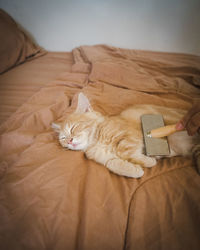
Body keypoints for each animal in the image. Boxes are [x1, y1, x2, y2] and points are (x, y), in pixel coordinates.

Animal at [52, 93, 200, 178]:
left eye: (74, 128)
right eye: (63, 138)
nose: (69, 141)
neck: (96, 142)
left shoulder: (131, 134)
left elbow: (123, 151)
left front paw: (149, 161)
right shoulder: (106, 158)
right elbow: (112, 163)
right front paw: (135, 170)